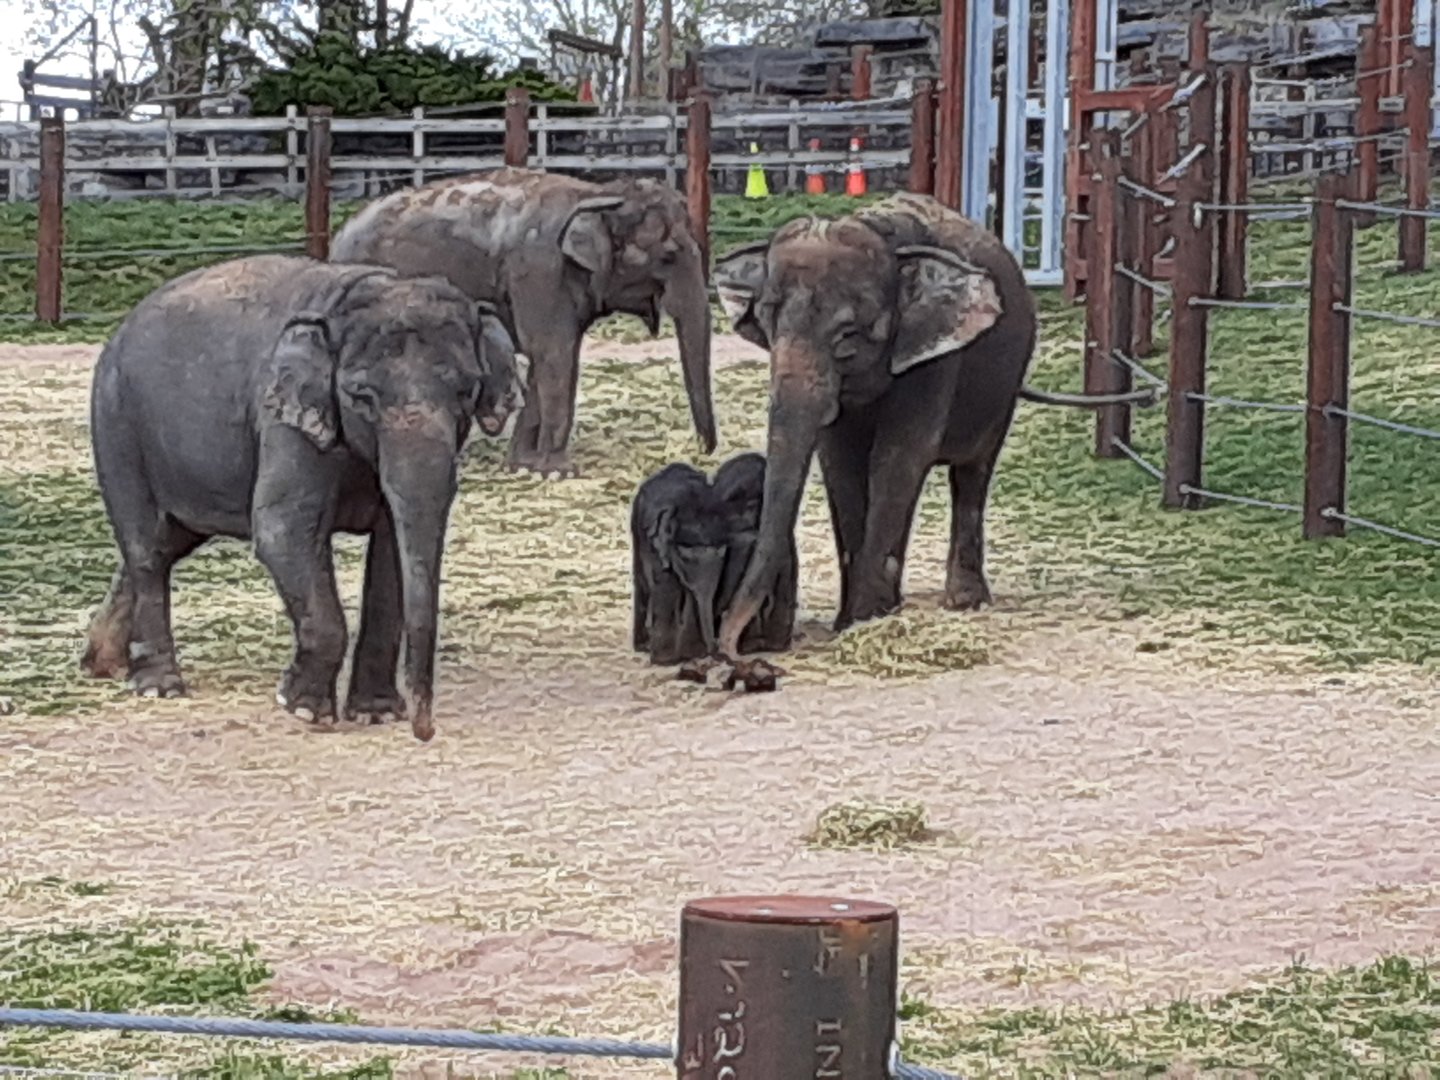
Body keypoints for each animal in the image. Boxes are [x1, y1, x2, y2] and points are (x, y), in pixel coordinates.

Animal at [80, 254, 523, 743]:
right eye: (361, 396)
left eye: (467, 391)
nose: (424, 731)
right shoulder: (283, 418)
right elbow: (283, 529)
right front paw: (305, 709)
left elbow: (390, 549)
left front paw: (375, 713)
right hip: (117, 425)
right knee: (145, 546)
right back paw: (159, 686)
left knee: (165, 543)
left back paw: (102, 663)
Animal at [329, 166, 716, 480]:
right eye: (668, 256)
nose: (702, 452)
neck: (597, 195)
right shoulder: (538, 269)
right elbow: (554, 352)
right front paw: (558, 470)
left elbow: (550, 356)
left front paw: (523, 464)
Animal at [630, 462, 729, 665]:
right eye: (685, 559)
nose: (715, 648)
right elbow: (665, 584)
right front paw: (665, 659)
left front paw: (690, 654)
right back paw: (644, 646)